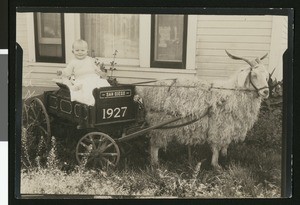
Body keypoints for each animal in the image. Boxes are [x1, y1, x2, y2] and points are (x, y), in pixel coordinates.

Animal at [136, 50, 270, 169]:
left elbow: (225, 143)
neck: (231, 94)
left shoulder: (229, 126)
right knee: (154, 145)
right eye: (254, 75)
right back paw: (155, 164)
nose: (266, 92)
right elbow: (216, 146)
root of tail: (145, 90)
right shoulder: (218, 126)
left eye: (266, 76)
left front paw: (224, 156)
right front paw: (216, 165)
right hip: (159, 122)